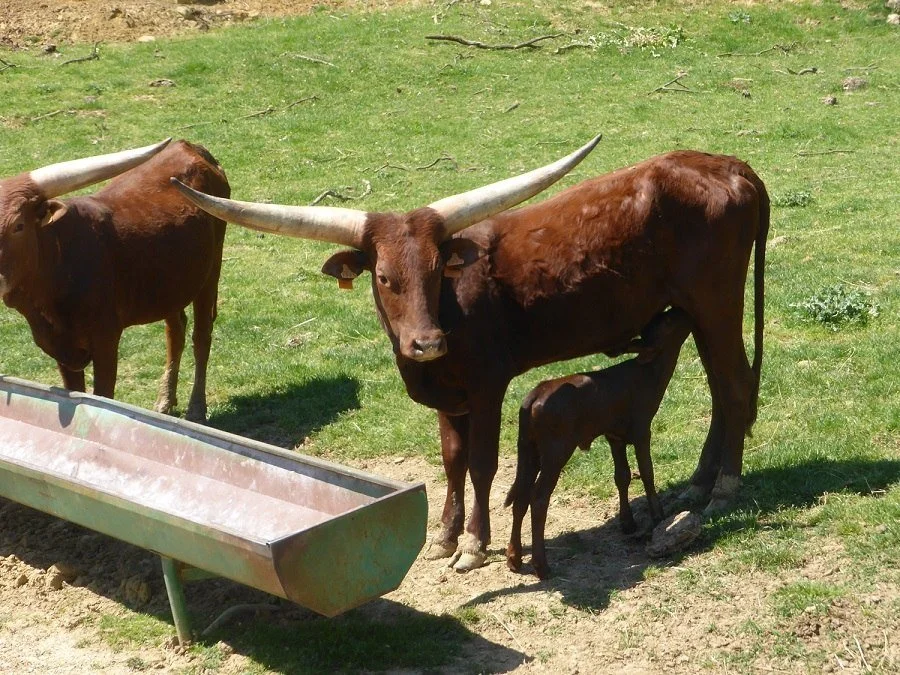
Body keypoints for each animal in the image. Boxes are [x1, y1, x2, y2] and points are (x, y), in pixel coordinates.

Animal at [0, 139, 229, 422]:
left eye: (18, 226)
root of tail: (188, 146)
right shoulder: (61, 350)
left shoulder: (106, 340)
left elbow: (103, 396)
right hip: (171, 283)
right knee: (175, 332)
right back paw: (165, 400)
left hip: (210, 271)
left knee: (202, 336)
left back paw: (196, 408)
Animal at [505, 307, 694, 579]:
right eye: (668, 322)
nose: (682, 310)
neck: (649, 372)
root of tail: (533, 397)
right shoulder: (641, 429)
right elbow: (647, 472)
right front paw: (658, 516)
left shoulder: (614, 435)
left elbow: (622, 476)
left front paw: (627, 523)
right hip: (555, 449)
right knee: (538, 498)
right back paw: (542, 566)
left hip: (528, 448)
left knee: (520, 494)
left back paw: (514, 558)